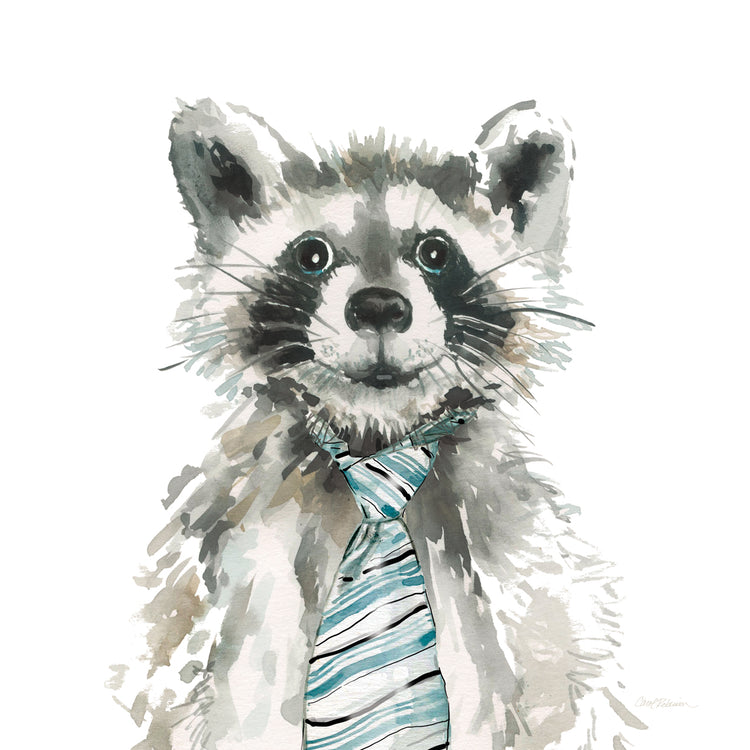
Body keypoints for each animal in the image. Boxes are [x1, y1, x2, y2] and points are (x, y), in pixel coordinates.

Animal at [113, 99, 642, 749]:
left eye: (436, 253)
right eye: (311, 255)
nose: (379, 307)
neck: (377, 436)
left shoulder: (530, 588)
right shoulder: (227, 577)